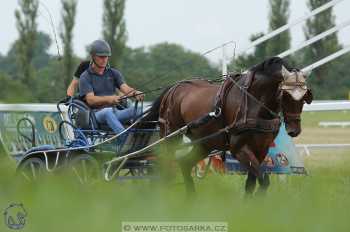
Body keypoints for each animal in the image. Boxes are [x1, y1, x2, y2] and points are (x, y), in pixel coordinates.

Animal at [144, 57, 314, 195]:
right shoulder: (239, 149)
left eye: (305, 97)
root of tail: (173, 88)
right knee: (165, 167)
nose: (294, 130)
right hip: (171, 138)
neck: (253, 102)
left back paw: (190, 199)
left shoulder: (261, 149)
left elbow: (251, 183)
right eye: (285, 95)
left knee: (185, 164)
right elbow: (263, 181)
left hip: (204, 143)